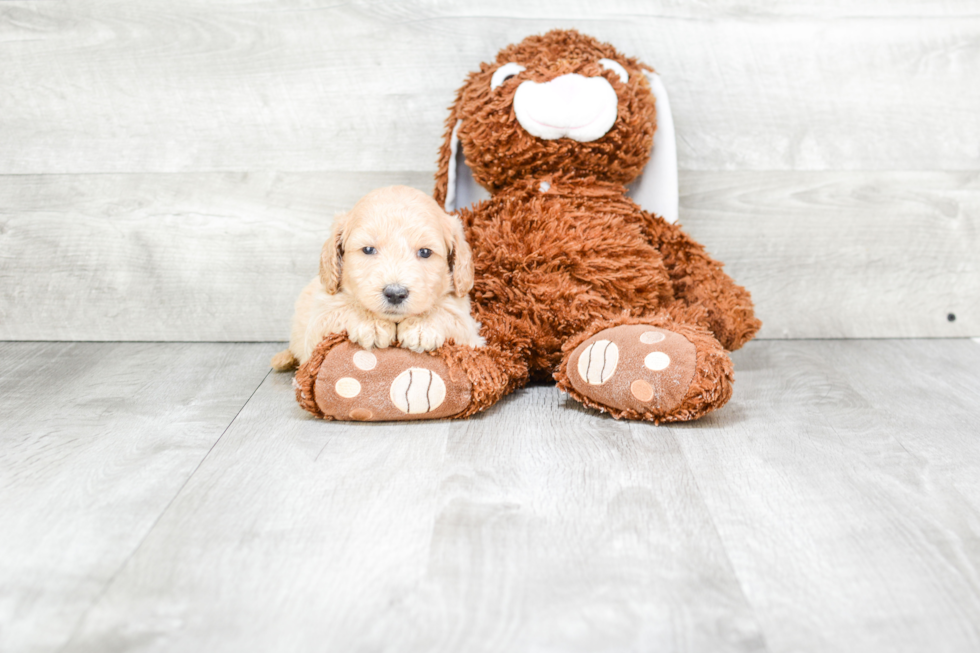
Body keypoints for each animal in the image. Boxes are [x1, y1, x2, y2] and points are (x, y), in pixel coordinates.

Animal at [270, 185, 484, 372]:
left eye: (425, 252)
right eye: (368, 249)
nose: (395, 294)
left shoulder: (470, 332)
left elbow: (450, 314)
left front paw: (422, 326)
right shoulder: (318, 325)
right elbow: (343, 307)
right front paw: (371, 323)